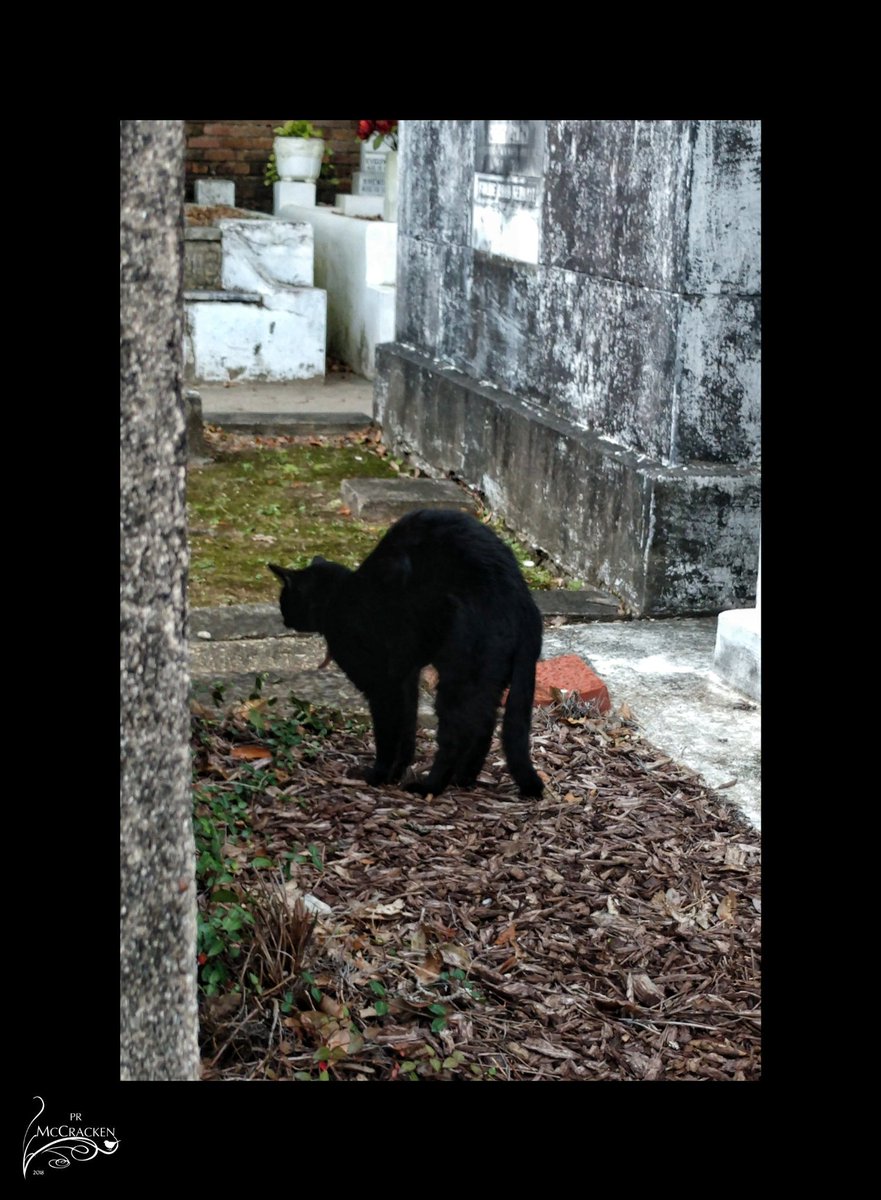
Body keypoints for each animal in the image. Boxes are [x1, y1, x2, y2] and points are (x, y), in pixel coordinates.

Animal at [268, 506, 544, 796]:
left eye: (284, 600)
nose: (283, 618)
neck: (338, 598)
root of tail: (525, 603)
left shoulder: (382, 685)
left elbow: (387, 735)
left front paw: (378, 775)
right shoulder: (406, 677)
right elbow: (407, 729)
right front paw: (397, 771)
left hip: (459, 678)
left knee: (455, 736)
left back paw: (430, 786)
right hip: (487, 680)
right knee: (485, 725)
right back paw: (463, 778)